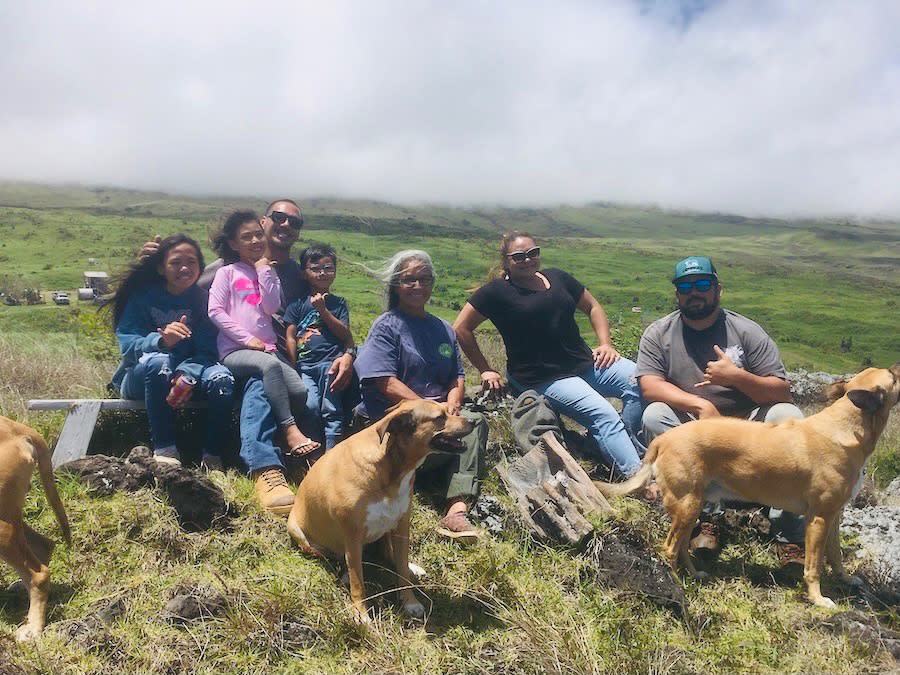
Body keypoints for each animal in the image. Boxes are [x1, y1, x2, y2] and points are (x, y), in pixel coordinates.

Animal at [288, 402, 474, 624]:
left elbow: (401, 570)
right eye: (440, 417)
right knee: (336, 559)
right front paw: (360, 613)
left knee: (389, 554)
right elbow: (358, 582)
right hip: (300, 534)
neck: (390, 469)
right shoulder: (352, 536)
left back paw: (411, 567)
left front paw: (409, 601)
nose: (473, 421)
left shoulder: (402, 526)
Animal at [596, 368, 900, 608]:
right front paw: (817, 598)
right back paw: (675, 583)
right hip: (687, 505)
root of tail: (664, 439)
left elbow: (835, 557)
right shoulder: (819, 518)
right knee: (669, 548)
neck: (847, 426)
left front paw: (845, 579)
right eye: (894, 376)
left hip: (691, 507)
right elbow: (813, 567)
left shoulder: (834, 516)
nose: (897, 366)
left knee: (680, 546)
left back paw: (693, 575)